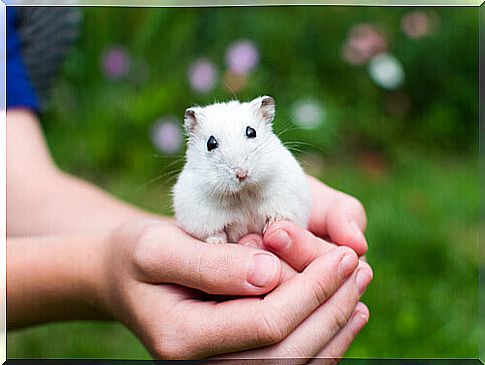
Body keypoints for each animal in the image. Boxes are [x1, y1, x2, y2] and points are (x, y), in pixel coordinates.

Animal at [172, 96, 312, 245]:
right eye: (210, 143)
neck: (243, 191)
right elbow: (214, 232)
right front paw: (217, 242)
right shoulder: (201, 214)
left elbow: (280, 214)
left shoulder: (286, 196)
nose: (242, 174)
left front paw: (272, 224)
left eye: (251, 132)